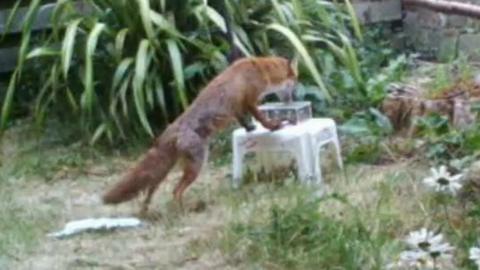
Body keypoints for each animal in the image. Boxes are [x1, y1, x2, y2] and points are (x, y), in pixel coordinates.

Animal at [103, 56, 298, 214]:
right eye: (294, 81)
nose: (293, 97)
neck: (259, 68)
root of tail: (172, 129)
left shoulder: (238, 107)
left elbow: (243, 120)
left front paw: (250, 128)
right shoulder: (249, 100)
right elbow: (262, 119)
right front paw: (274, 125)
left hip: (166, 171)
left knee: (151, 188)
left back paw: (146, 210)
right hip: (197, 165)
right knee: (176, 191)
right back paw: (184, 211)